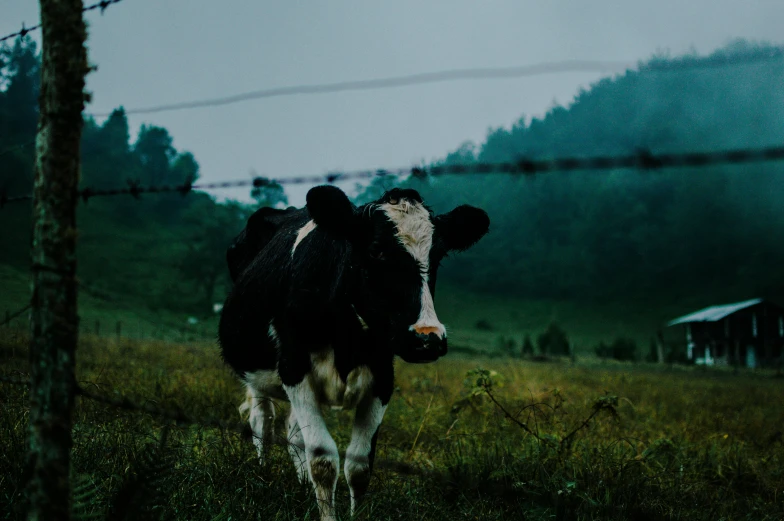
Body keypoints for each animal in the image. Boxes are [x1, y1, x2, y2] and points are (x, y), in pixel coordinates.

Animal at [219, 185, 490, 516]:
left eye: (437, 255)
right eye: (376, 251)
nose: (427, 338)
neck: (348, 342)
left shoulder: (383, 378)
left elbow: (359, 468)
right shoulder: (294, 369)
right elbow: (323, 461)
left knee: (294, 430)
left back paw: (301, 484)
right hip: (254, 369)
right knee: (262, 420)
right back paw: (264, 474)